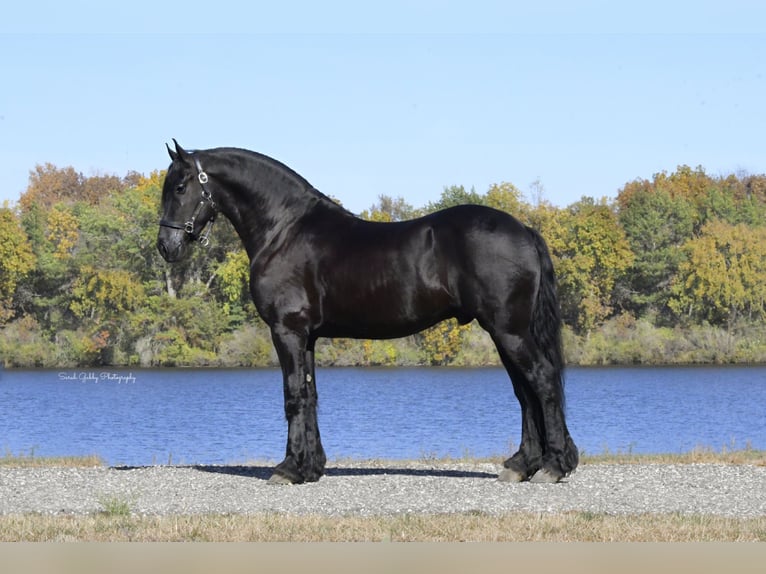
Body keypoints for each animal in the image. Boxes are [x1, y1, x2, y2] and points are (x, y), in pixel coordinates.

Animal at [158, 141, 576, 486]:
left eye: (179, 187)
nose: (166, 245)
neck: (284, 230)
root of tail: (523, 229)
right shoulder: (306, 336)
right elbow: (309, 395)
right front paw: (311, 468)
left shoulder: (286, 331)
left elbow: (292, 395)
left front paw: (288, 469)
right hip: (505, 333)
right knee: (525, 392)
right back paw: (521, 465)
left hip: (509, 330)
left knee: (541, 381)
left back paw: (553, 467)